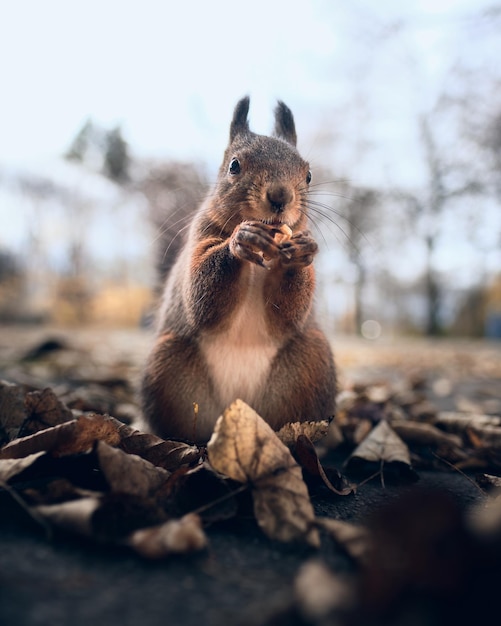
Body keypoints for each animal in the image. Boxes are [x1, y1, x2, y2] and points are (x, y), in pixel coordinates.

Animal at [140, 95, 336, 442]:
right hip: (167, 366)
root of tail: (240, 406)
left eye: (309, 175)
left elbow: (286, 314)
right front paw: (239, 240)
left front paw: (298, 253)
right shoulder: (200, 239)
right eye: (234, 165)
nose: (280, 196)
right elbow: (202, 300)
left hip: (311, 364)